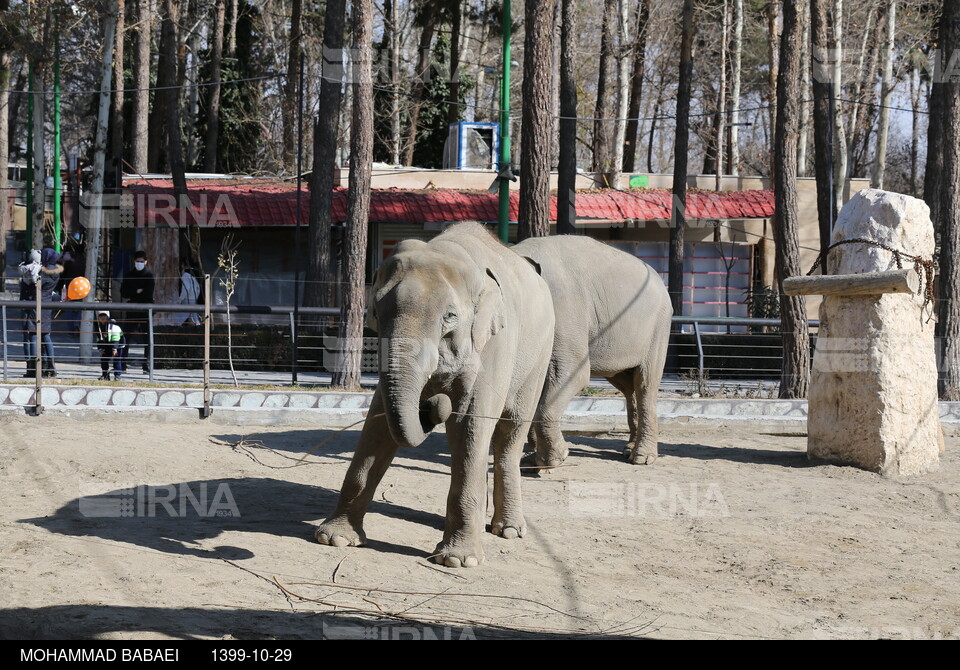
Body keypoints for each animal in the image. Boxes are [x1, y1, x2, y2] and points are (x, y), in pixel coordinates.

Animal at [316, 223, 556, 568]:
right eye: (375, 311)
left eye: (450, 316)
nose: (432, 404)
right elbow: (378, 423)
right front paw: (335, 539)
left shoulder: (494, 343)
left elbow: (468, 422)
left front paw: (457, 561)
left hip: (538, 355)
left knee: (509, 430)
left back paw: (508, 530)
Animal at [512, 236, 672, 468]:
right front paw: (532, 459)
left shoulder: (565, 311)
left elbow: (573, 374)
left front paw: (552, 460)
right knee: (628, 385)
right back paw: (629, 449)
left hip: (658, 329)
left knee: (645, 383)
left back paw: (641, 458)